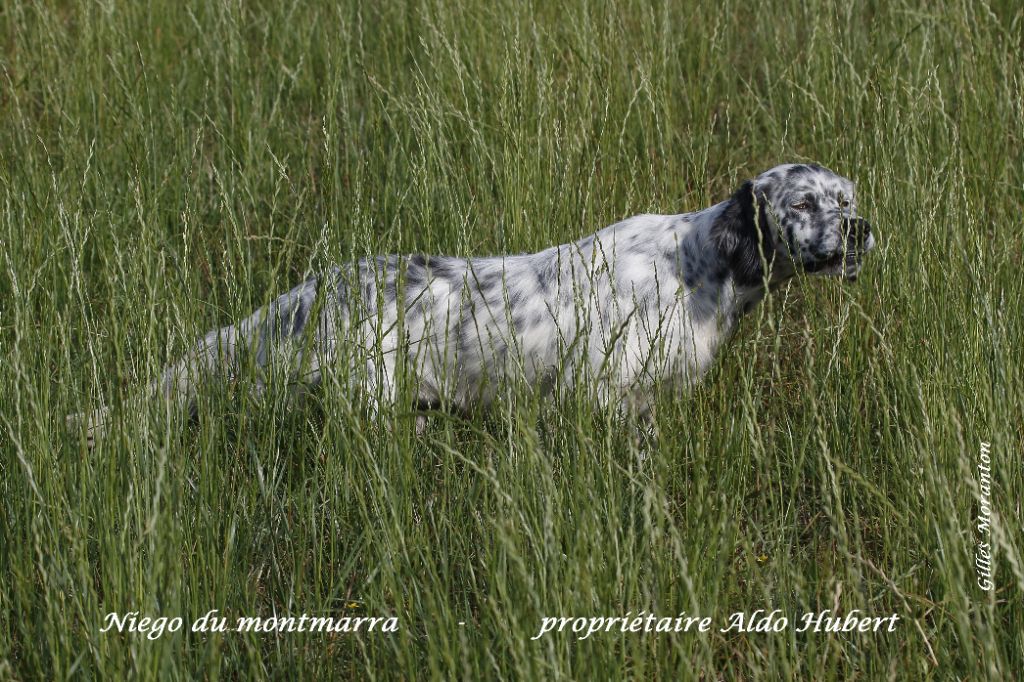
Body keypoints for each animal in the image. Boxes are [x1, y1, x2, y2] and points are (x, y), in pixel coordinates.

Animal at [69, 163, 874, 444]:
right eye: (804, 203)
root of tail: (301, 296)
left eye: (847, 197)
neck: (698, 267)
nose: (862, 229)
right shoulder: (604, 396)